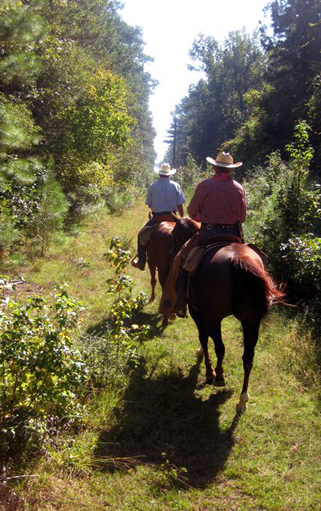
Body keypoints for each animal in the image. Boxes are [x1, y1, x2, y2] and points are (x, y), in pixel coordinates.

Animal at [172, 218, 282, 414]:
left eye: (175, 231)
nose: (172, 248)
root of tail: (238, 260)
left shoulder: (196, 310)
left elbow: (203, 337)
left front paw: (208, 370)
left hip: (214, 318)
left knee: (220, 347)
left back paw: (218, 377)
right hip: (251, 320)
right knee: (248, 357)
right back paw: (242, 400)